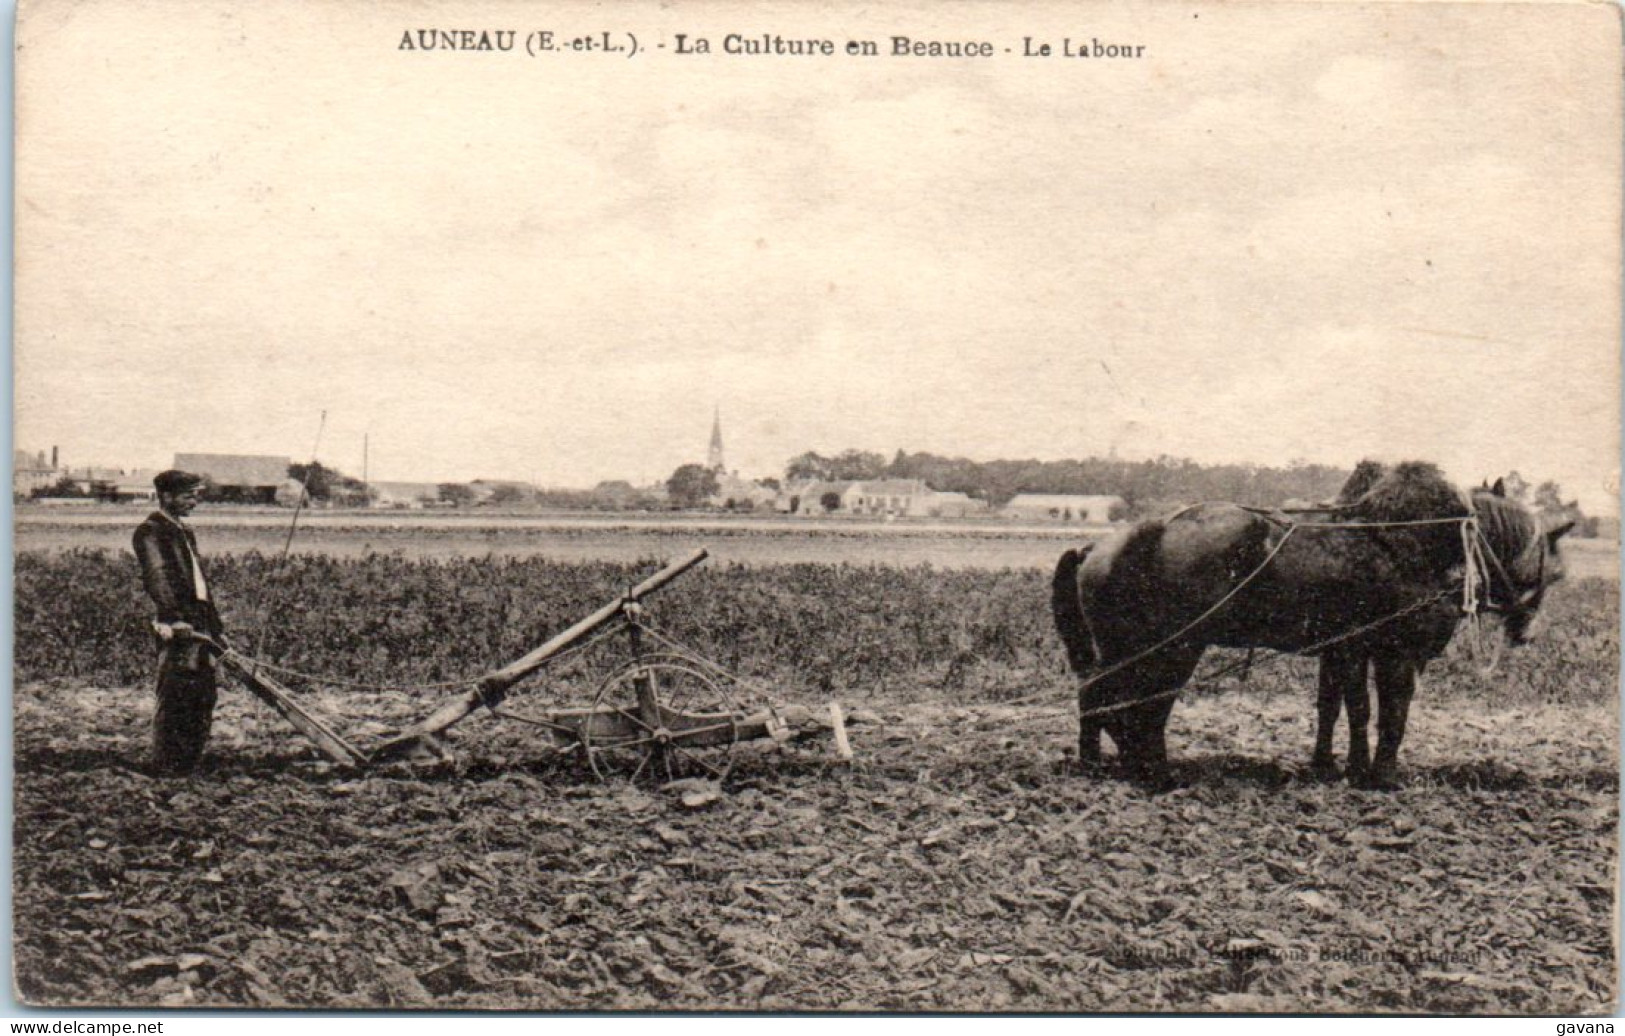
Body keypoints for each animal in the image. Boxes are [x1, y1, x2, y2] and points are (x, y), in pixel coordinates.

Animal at [1053, 461, 1573, 785]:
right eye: (1553, 567)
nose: (1528, 631)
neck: (1427, 544)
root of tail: (1101, 547)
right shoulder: (1396, 652)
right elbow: (1390, 711)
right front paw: (1381, 775)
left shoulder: (1345, 647)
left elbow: (1340, 707)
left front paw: (1334, 766)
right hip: (1172, 649)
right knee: (1135, 705)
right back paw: (1153, 772)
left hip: (1132, 650)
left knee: (1100, 696)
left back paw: (1100, 762)